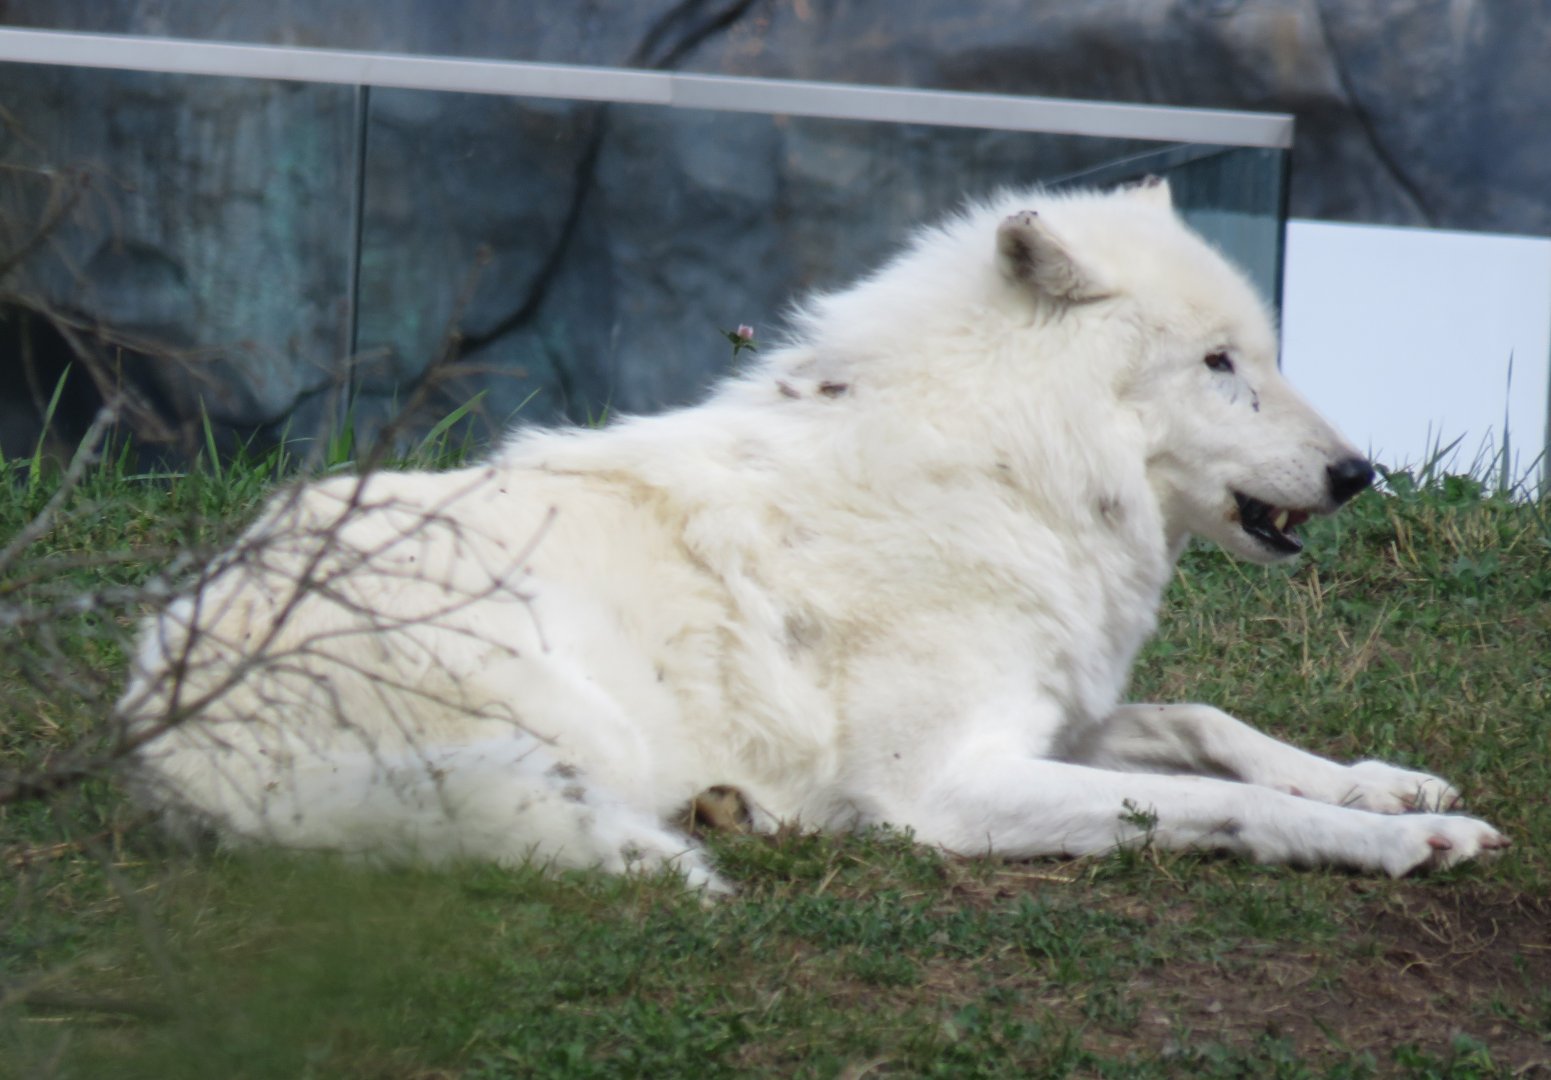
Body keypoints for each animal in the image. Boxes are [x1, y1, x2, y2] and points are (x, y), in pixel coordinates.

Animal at [119, 179, 1507, 891]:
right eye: (1221, 365)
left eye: (1262, 354)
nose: (1360, 473)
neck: (1007, 471)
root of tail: (160, 717)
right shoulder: (946, 787)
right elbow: (1208, 806)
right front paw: (1399, 841)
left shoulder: (1053, 715)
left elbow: (1206, 725)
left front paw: (1387, 782)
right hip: (567, 716)